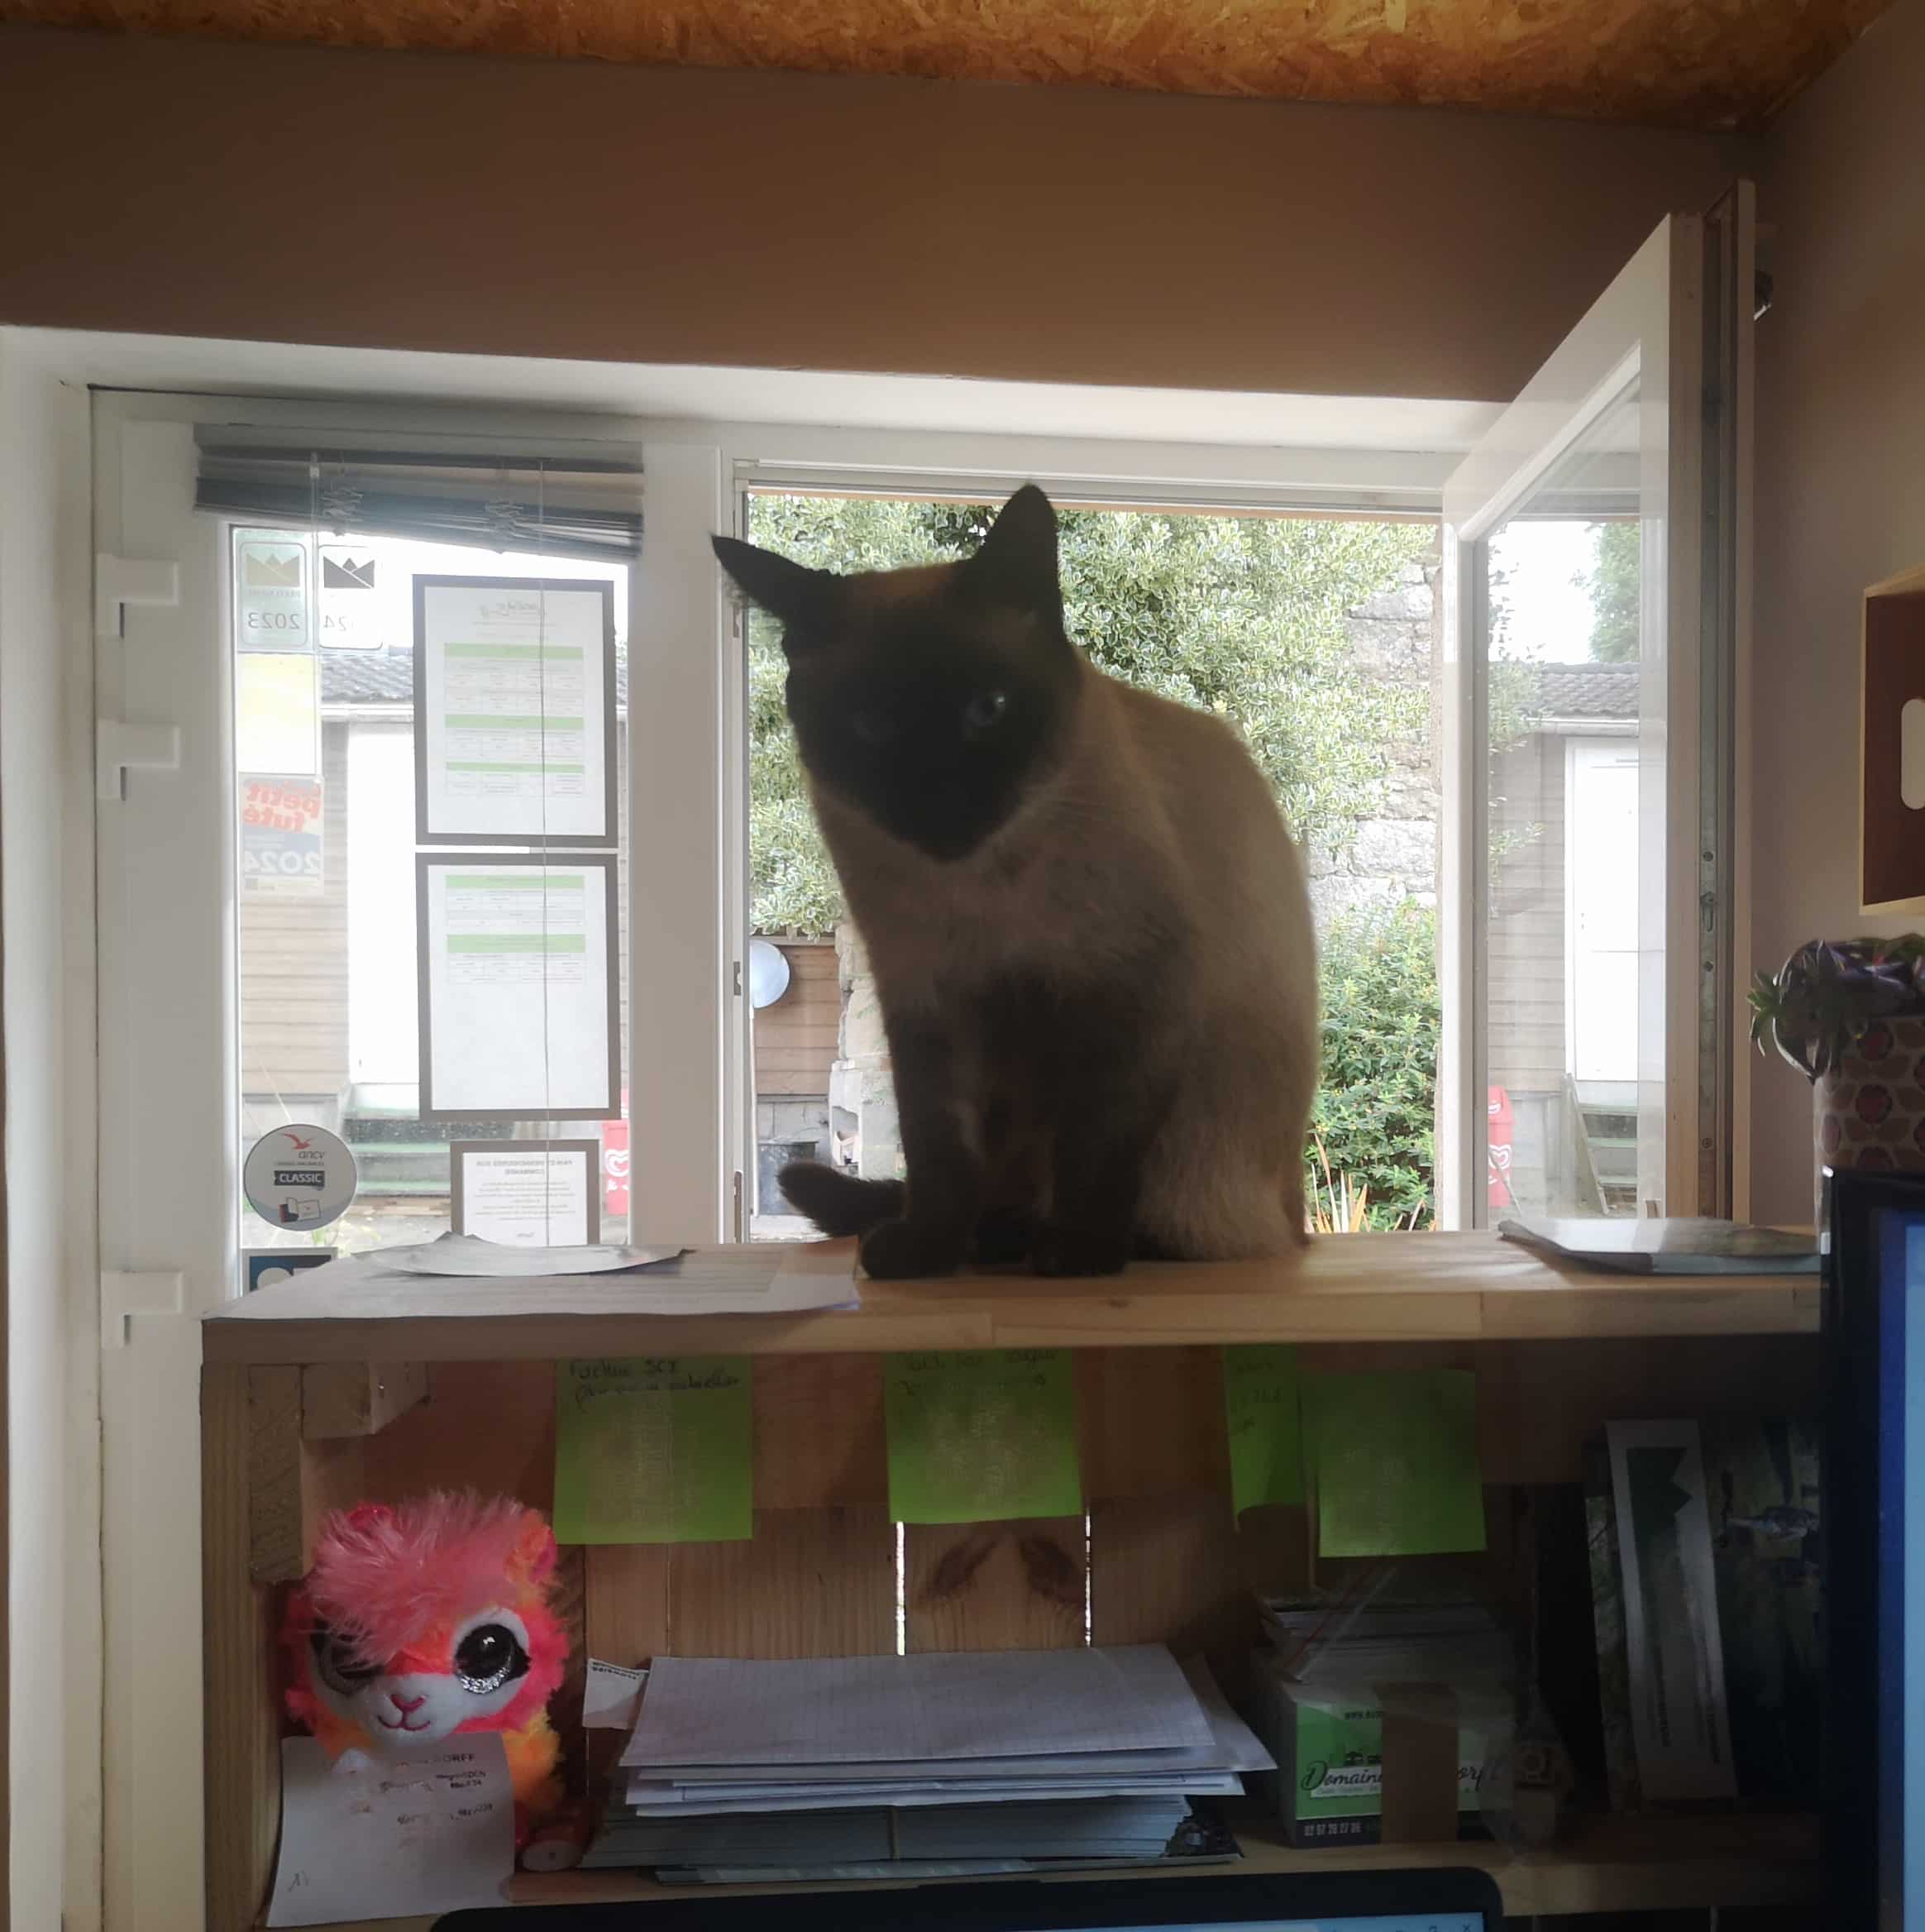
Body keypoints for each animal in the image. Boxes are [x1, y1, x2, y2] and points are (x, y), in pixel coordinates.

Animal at [715, 485, 1318, 1279]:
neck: (985, 888)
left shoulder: (1124, 991)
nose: (941, 803)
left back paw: (1052, 1242)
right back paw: (992, 1238)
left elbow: (1097, 1147)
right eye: (870, 725)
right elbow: (937, 1149)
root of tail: (1300, 1224)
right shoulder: (926, 998)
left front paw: (1079, 1254)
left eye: (988, 710)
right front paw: (925, 1252)